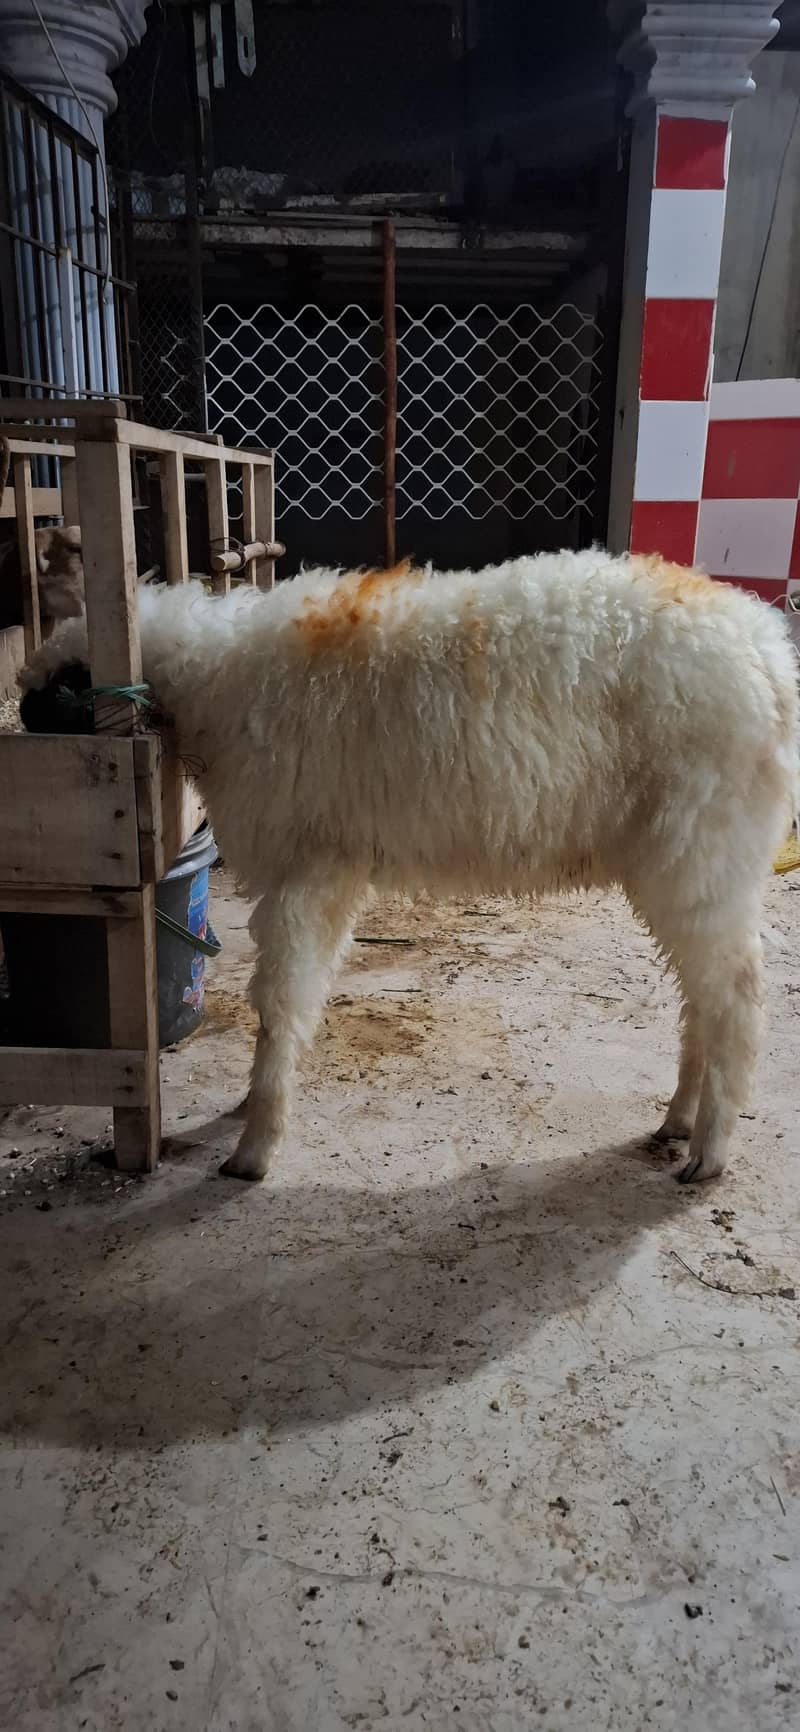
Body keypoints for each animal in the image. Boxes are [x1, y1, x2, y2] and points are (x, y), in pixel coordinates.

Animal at [18, 549, 799, 1185]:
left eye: (53, 700)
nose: (23, 729)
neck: (214, 680)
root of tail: (768, 652)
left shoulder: (311, 869)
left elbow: (278, 1001)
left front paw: (255, 1145)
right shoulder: (328, 874)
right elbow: (289, 1001)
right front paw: (253, 1102)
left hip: (704, 847)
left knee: (736, 998)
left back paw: (710, 1152)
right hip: (685, 863)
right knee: (704, 994)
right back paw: (679, 1119)